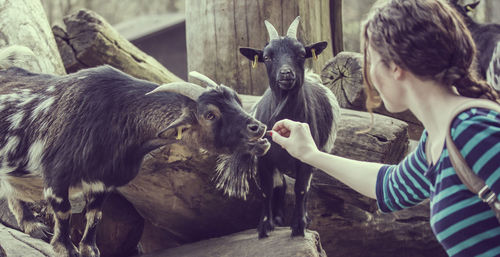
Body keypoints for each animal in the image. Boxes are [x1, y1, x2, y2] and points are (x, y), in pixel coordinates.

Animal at [0, 55, 270, 254]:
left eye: (237, 99)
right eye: (210, 114)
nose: (258, 127)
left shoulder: (102, 182)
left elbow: (94, 217)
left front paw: (89, 249)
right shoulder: (56, 176)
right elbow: (65, 214)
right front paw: (64, 247)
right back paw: (35, 227)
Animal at [227, 17, 340, 238]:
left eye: (302, 54)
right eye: (267, 57)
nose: (286, 73)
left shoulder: (305, 159)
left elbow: (301, 190)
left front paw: (299, 225)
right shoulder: (264, 159)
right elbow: (266, 190)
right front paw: (265, 226)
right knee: (281, 183)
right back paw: (278, 218)